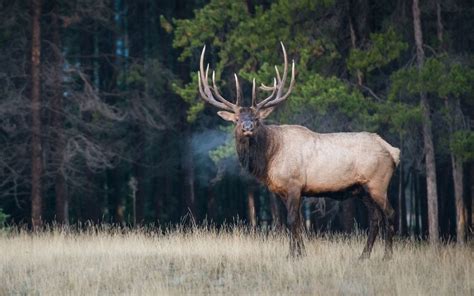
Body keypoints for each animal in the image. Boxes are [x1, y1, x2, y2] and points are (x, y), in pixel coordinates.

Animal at [196, 42, 400, 260]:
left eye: (257, 118)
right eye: (236, 120)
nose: (248, 127)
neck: (269, 157)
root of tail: (393, 151)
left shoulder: (294, 184)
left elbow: (292, 220)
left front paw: (294, 254)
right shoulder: (283, 191)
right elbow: (298, 223)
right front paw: (298, 252)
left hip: (378, 182)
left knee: (390, 213)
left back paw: (387, 255)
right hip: (361, 189)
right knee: (375, 217)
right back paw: (363, 256)